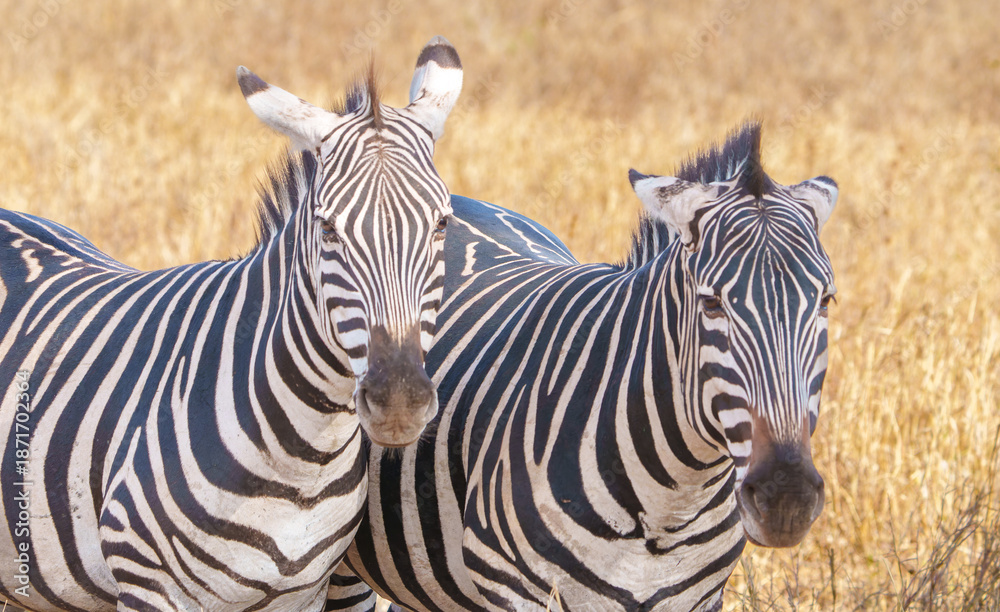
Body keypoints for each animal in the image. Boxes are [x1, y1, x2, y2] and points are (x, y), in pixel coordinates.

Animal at [0, 36, 462, 612]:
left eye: (441, 224)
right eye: (328, 230)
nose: (399, 402)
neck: (303, 463)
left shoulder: (303, 593)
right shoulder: (147, 586)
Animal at [326, 122, 839, 611]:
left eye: (825, 302)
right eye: (711, 304)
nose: (786, 499)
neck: (671, 505)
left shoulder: (699, 598)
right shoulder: (514, 590)